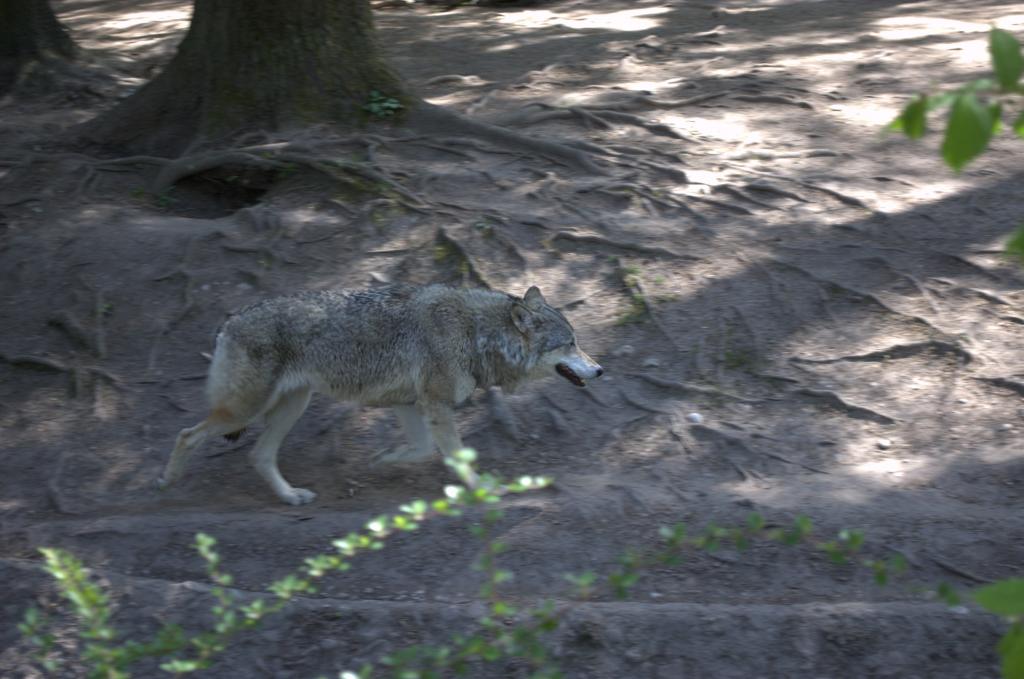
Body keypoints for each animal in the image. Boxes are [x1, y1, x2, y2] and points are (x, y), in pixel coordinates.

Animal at [158, 284, 603, 505]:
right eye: (570, 344)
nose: (600, 370)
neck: (478, 334)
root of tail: (230, 320)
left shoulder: (410, 405)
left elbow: (421, 450)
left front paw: (382, 459)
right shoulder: (435, 405)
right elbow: (457, 457)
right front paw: (484, 491)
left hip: (292, 406)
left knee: (258, 455)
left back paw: (290, 496)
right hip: (246, 411)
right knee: (185, 435)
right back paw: (168, 481)